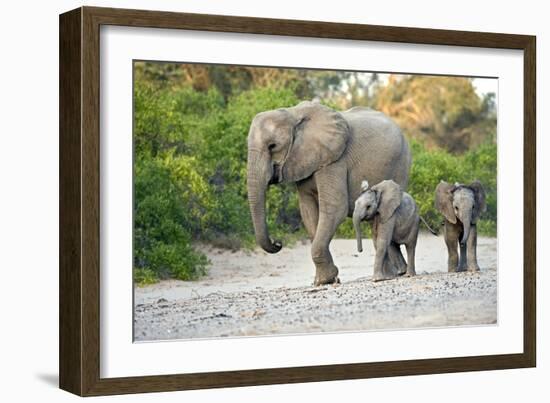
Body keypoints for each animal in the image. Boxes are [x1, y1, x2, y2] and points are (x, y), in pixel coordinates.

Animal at [248, 101, 412, 286]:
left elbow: (335, 207)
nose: (278, 242)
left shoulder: (335, 160)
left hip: (401, 164)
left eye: (273, 146)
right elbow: (308, 211)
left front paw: (327, 279)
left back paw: (395, 273)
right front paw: (324, 280)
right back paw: (392, 273)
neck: (293, 114)